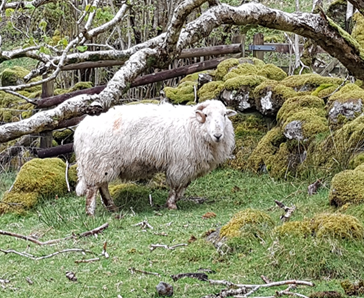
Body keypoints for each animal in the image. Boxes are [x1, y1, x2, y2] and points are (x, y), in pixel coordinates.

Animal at [74, 99, 237, 214]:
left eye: (224, 115)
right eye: (206, 115)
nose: (218, 135)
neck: (194, 125)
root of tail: (81, 129)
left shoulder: (190, 166)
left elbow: (184, 186)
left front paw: (175, 200)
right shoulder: (180, 164)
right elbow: (175, 186)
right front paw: (171, 204)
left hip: (102, 165)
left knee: (102, 186)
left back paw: (112, 207)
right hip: (97, 163)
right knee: (92, 190)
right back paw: (90, 212)